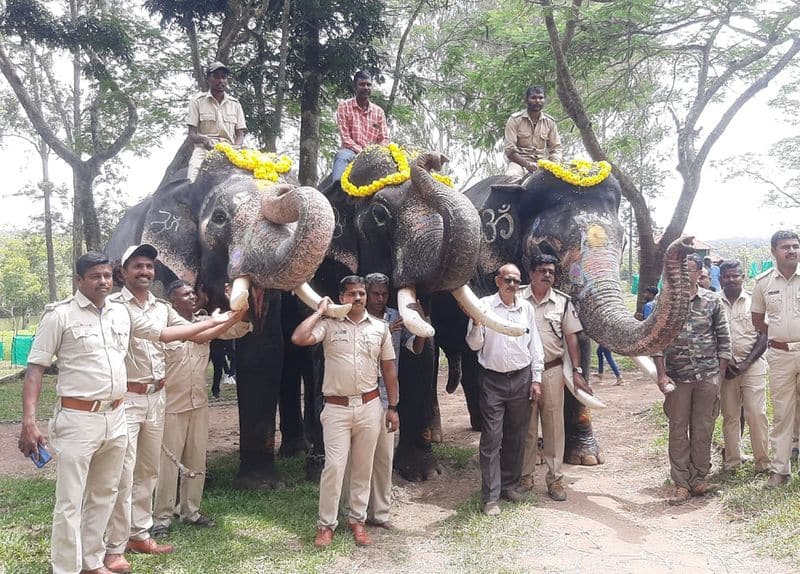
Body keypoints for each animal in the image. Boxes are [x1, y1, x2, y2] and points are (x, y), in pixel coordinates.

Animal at [432, 162, 692, 468]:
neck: (520, 184)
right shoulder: (482, 272)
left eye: (625, 244)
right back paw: (441, 434)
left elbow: (578, 341)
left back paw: (478, 426)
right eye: (546, 248)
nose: (686, 243)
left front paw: (586, 457)